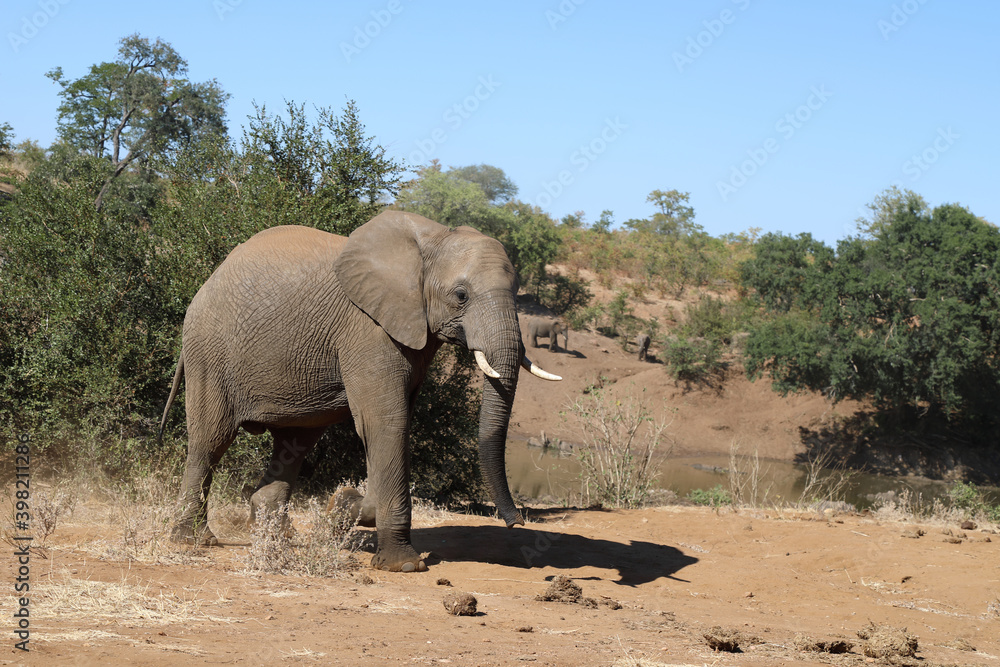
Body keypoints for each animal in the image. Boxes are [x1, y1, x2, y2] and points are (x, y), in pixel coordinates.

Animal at [159, 211, 561, 572]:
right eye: (461, 295)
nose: (517, 522)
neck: (432, 240)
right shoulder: (368, 328)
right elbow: (385, 422)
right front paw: (403, 564)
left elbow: (389, 424)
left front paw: (341, 509)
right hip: (208, 352)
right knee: (210, 442)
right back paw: (193, 540)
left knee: (294, 443)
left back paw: (276, 537)